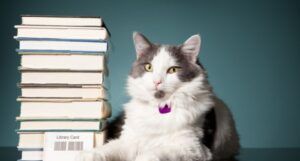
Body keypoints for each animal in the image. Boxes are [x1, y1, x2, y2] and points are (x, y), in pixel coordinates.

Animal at [77, 32, 239, 160]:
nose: (157, 81)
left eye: (173, 70)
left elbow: (153, 154)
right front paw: (87, 155)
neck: (159, 107)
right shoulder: (129, 141)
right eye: (149, 67)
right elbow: (107, 149)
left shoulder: (192, 147)